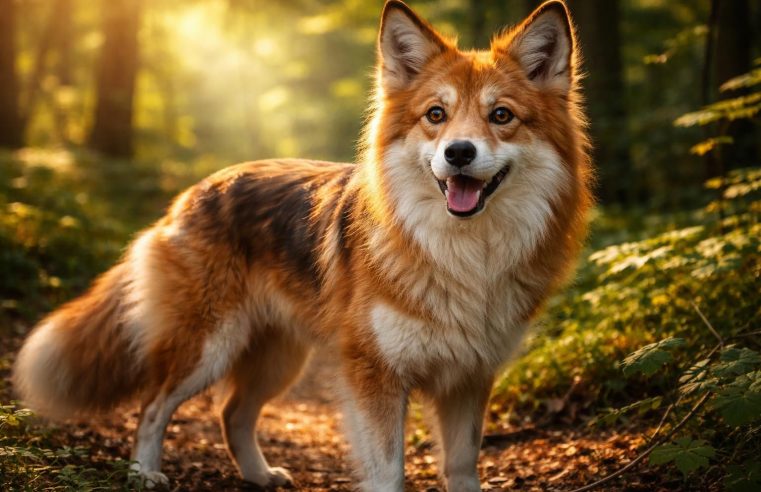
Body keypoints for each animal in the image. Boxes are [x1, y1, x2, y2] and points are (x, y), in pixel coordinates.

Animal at [13, 1, 591, 490]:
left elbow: (462, 467)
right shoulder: (373, 376)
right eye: (435, 115)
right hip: (207, 347)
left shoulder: (469, 379)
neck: (464, 259)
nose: (459, 153)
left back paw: (260, 475)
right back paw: (145, 474)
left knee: (231, 413)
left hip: (278, 358)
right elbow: (388, 472)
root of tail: (190, 194)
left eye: (501, 116)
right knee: (153, 407)